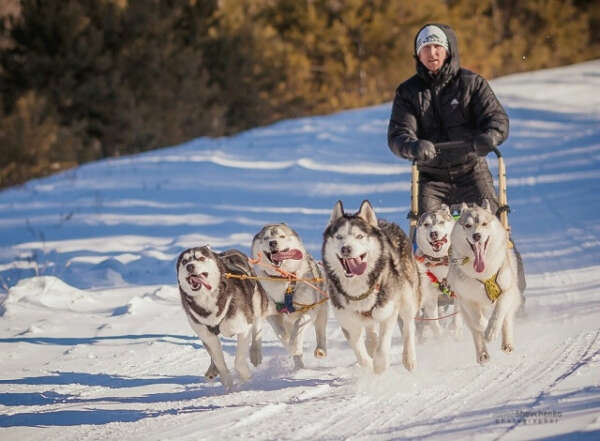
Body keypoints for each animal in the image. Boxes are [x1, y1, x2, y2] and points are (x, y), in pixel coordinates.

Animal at [175, 246, 276, 390]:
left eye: (201, 258)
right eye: (184, 261)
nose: (190, 266)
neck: (207, 299)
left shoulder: (243, 328)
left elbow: (239, 360)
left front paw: (246, 377)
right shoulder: (208, 336)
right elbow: (219, 361)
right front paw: (227, 382)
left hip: (256, 303)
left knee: (257, 328)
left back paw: (255, 354)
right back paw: (212, 370)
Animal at [250, 223, 328, 368]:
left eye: (282, 236)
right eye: (266, 238)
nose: (273, 243)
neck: (284, 278)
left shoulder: (309, 309)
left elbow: (298, 328)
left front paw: (294, 345)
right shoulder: (272, 314)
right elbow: (281, 335)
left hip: (321, 311)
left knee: (320, 331)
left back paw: (320, 350)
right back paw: (299, 366)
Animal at [324, 201, 418, 372]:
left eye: (360, 236)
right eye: (339, 237)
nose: (345, 248)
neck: (358, 287)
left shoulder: (388, 312)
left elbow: (383, 345)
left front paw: (380, 366)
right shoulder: (347, 321)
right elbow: (357, 347)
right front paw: (367, 363)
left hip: (407, 297)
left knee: (409, 326)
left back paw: (409, 358)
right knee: (370, 330)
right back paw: (371, 343)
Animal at [418, 205, 464, 338]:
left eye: (441, 222)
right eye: (426, 224)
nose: (433, 233)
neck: (440, 260)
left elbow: (457, 318)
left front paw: (456, 332)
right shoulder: (430, 297)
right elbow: (435, 324)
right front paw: (440, 338)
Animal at [446, 201, 524, 362]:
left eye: (484, 223)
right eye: (468, 225)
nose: (476, 235)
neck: (484, 275)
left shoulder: (507, 291)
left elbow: (499, 313)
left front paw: (492, 331)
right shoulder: (467, 299)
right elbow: (478, 321)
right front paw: (485, 327)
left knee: (507, 318)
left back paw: (507, 343)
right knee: (475, 330)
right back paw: (482, 354)